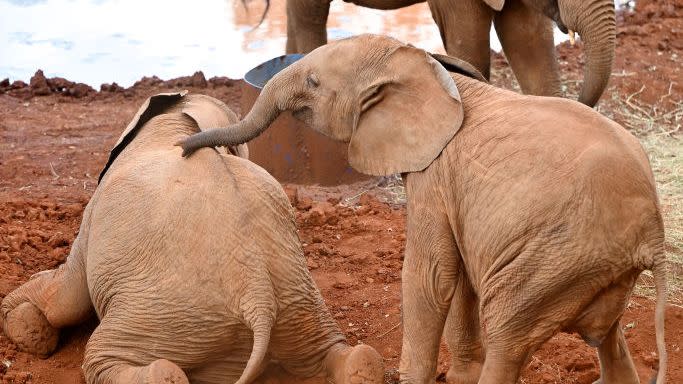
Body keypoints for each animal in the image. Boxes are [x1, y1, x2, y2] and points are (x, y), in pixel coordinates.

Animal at [0, 91, 384, 382]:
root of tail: (258, 299)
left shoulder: (93, 216)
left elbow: (66, 295)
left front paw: (23, 323)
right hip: (301, 308)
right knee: (344, 355)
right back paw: (360, 365)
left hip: (166, 316)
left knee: (107, 357)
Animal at [179, 33, 672, 384]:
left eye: (314, 84)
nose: (184, 148)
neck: (421, 65)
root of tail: (653, 233)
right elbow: (460, 274)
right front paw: (460, 376)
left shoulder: (435, 174)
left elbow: (431, 274)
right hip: (586, 265)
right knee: (608, 337)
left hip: (555, 258)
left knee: (509, 332)